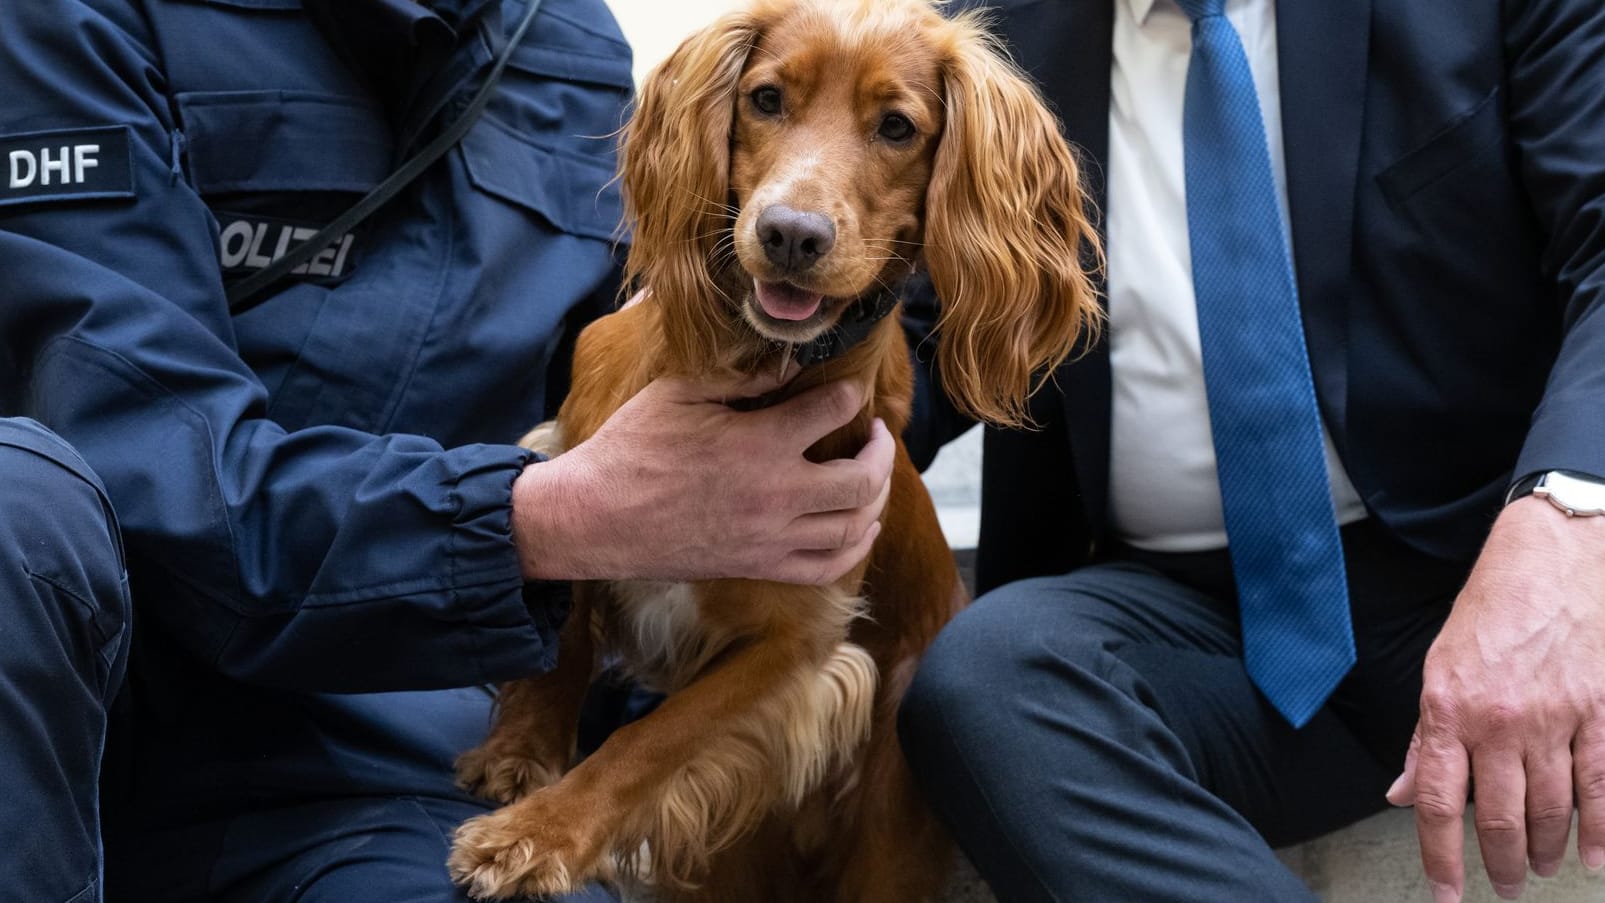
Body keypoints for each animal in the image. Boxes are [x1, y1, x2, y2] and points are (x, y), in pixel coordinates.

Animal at [446, 3, 1104, 898]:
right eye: (764, 99)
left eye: (896, 127)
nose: (790, 234)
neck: (750, 369)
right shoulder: (569, 460)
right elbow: (566, 629)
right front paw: (520, 755)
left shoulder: (796, 641)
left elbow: (652, 739)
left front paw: (540, 832)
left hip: (884, 828)